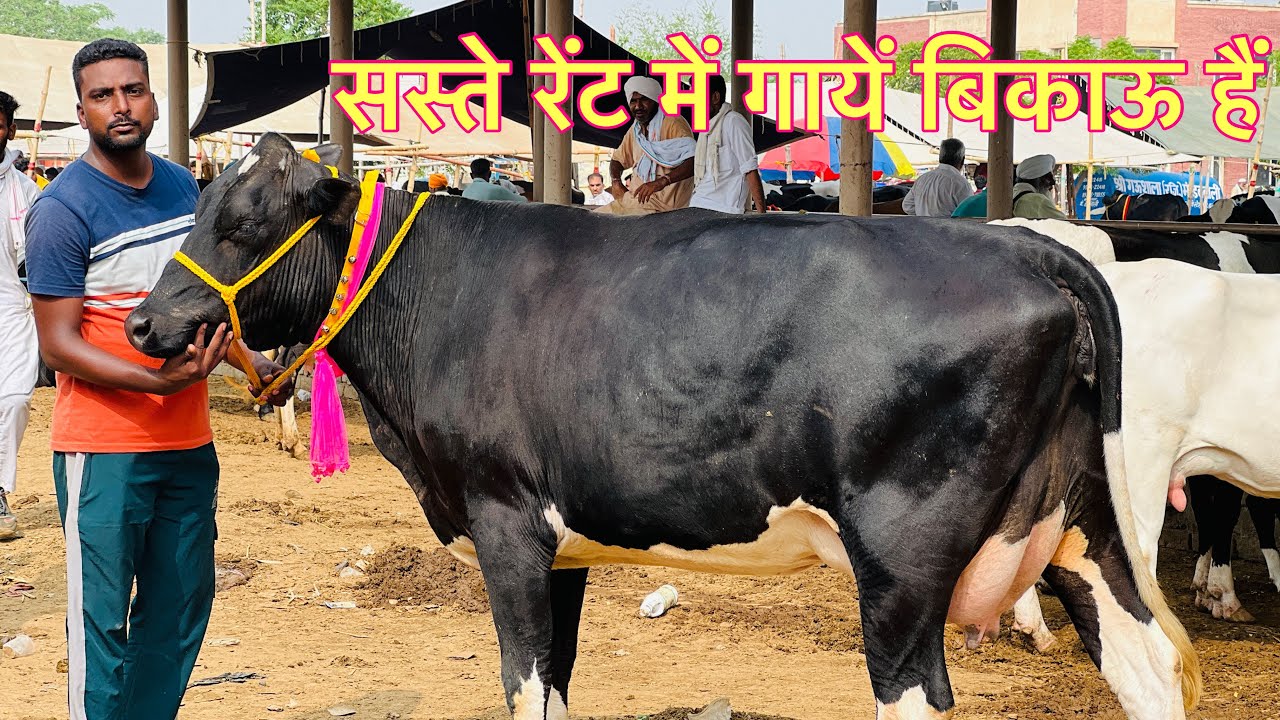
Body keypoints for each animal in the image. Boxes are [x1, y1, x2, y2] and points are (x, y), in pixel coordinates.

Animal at [125, 135, 1199, 720]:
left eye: (246, 222)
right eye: (200, 201)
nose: (144, 324)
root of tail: (1026, 246)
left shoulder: (505, 519)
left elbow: (521, 684)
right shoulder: (560, 544)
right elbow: (555, 683)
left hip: (904, 548)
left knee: (911, 691)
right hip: (1080, 521)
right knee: (1146, 669)